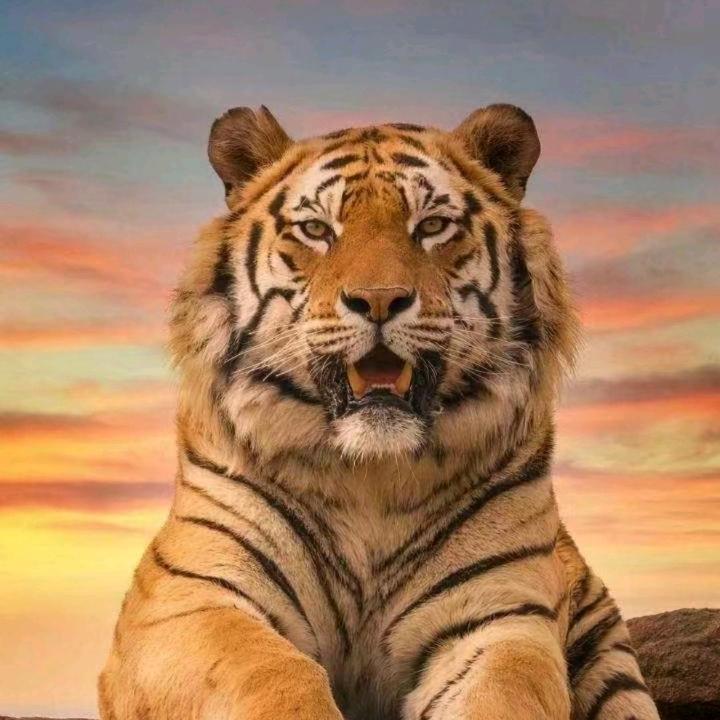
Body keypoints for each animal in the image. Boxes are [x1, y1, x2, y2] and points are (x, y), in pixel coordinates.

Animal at [99, 103, 660, 720]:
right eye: (317, 230)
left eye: (432, 226)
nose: (378, 300)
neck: (370, 479)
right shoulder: (191, 598)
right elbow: (273, 673)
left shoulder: (500, 616)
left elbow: (503, 691)